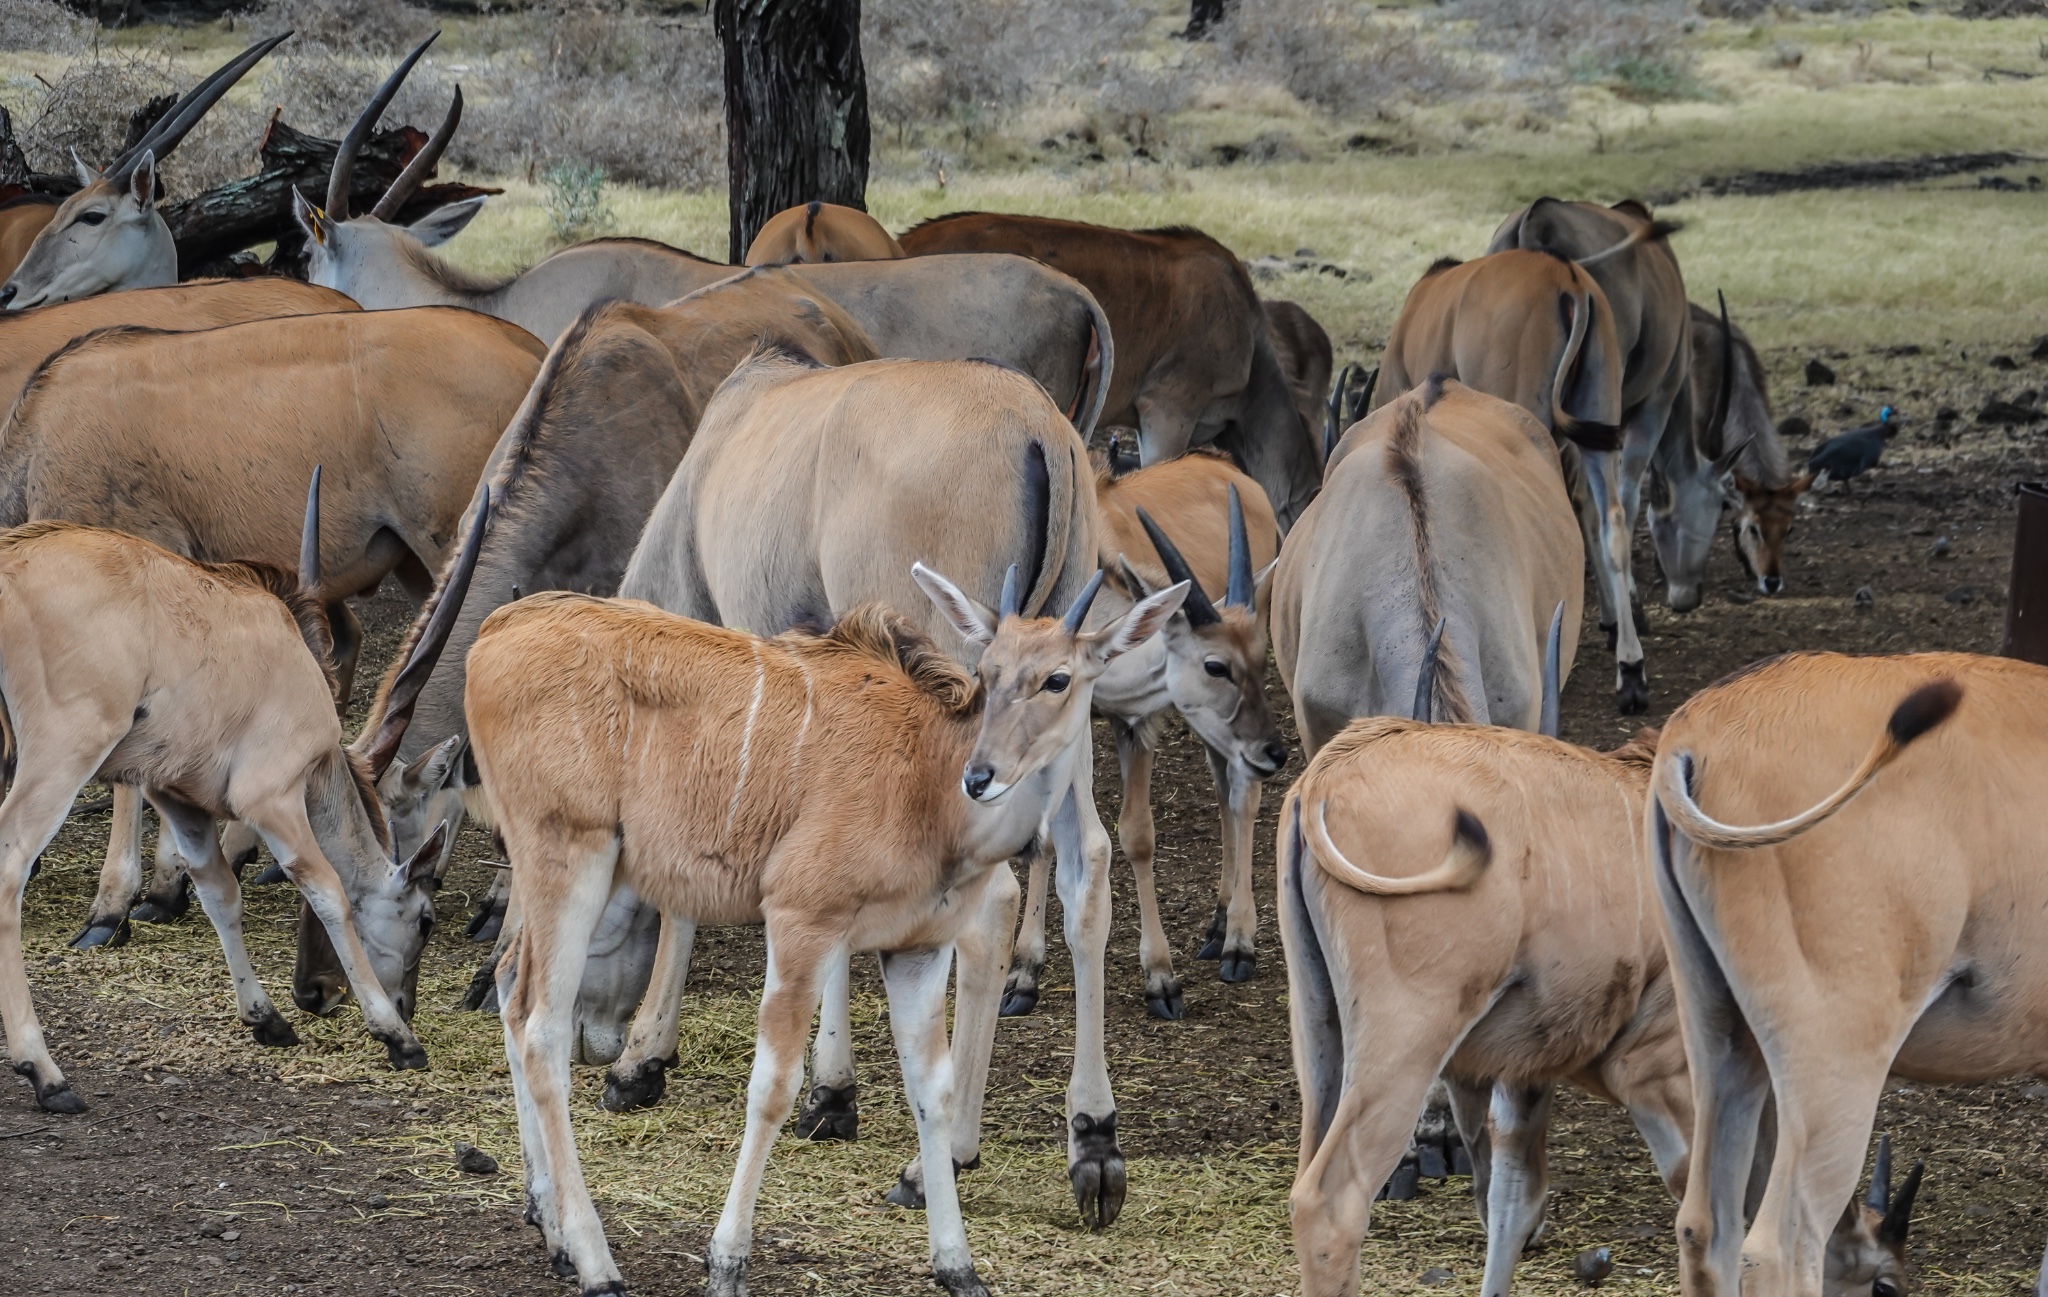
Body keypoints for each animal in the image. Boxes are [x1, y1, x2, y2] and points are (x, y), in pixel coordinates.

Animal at [466, 573, 1196, 1294]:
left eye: (1057, 678)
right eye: (987, 671)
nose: (982, 774)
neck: (927, 780)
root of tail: (492, 634)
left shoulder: (918, 949)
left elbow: (930, 1090)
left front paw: (957, 1265)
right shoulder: (801, 919)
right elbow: (772, 1086)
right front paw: (726, 1261)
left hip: (581, 875)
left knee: (510, 986)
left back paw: (554, 1231)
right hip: (571, 854)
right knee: (543, 1029)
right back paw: (597, 1263)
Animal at [1646, 655, 2048, 1294]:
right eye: (1885, 1288)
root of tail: (1693, 729)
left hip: (1720, 1034)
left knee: (1704, 1224)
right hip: (1838, 1059)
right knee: (1779, 1245)